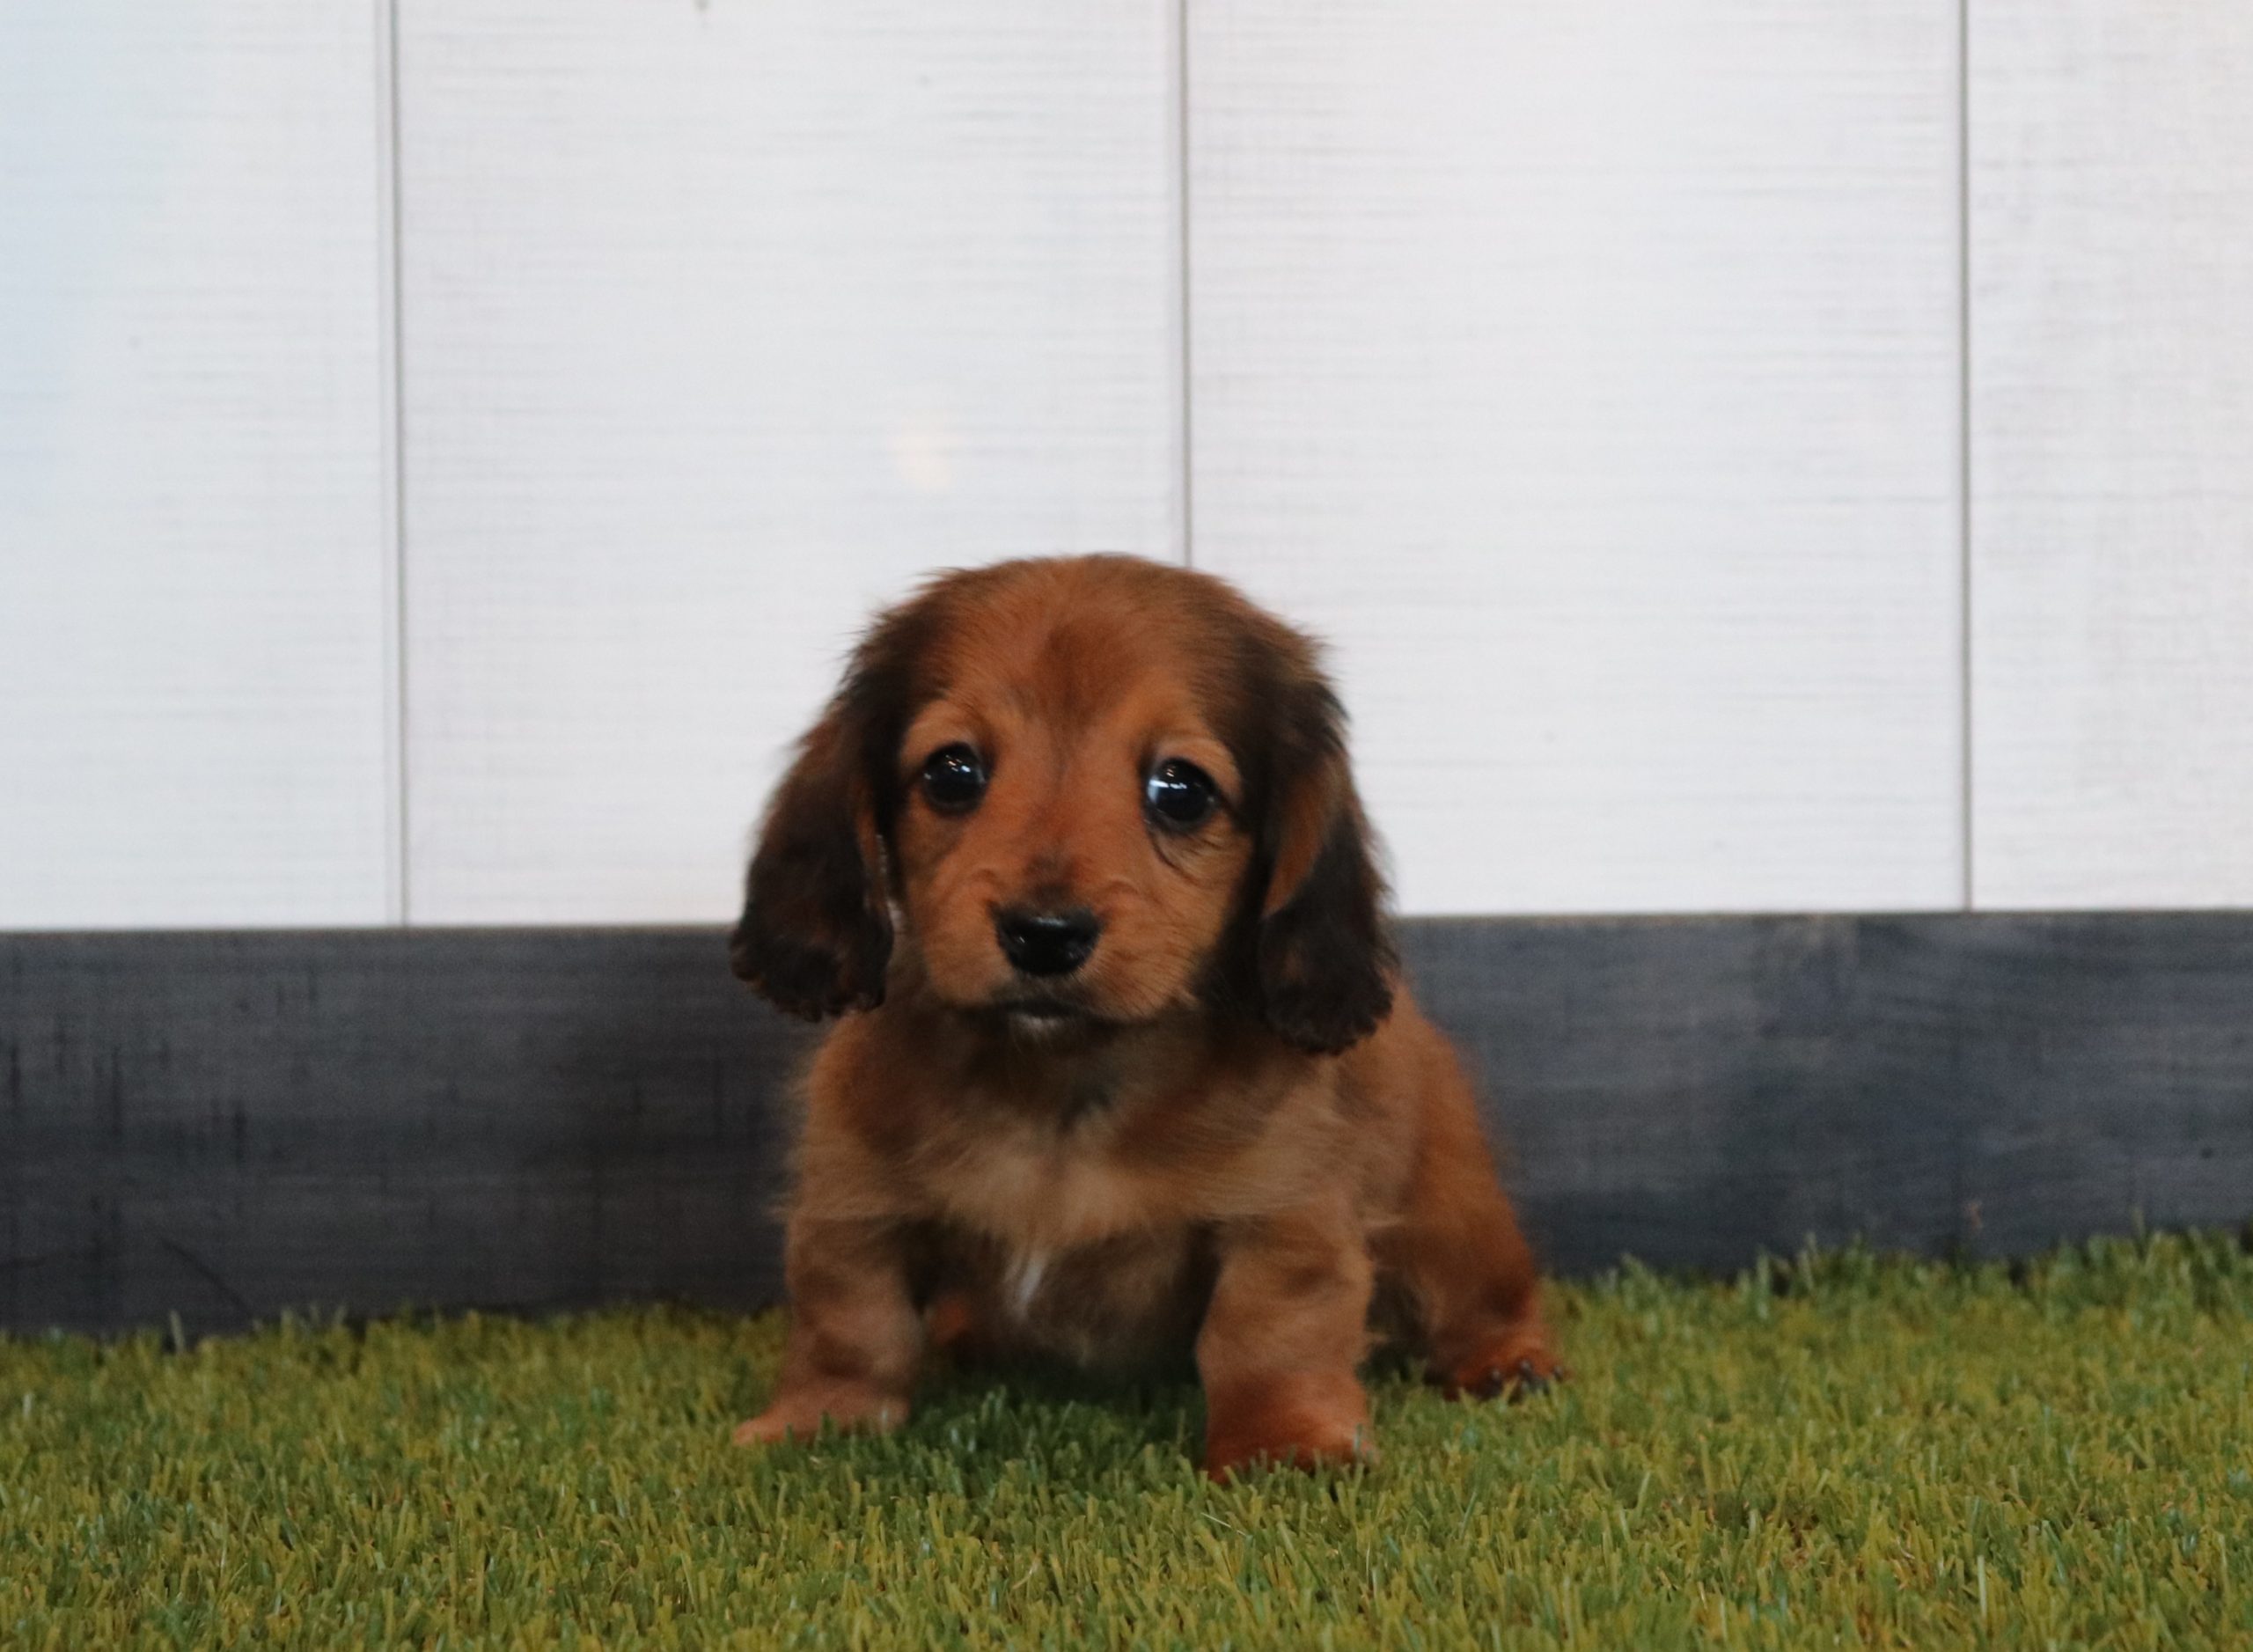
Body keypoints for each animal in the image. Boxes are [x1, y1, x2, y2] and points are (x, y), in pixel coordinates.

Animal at [729, 554, 1557, 1475]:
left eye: (1181, 790)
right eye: (951, 772)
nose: (1044, 934)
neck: (1061, 1087)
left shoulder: (1284, 1213)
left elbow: (1265, 1333)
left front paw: (1280, 1441)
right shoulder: (854, 1202)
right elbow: (851, 1322)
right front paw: (817, 1422)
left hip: (1450, 1217)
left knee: (1480, 1295)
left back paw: (1508, 1360)